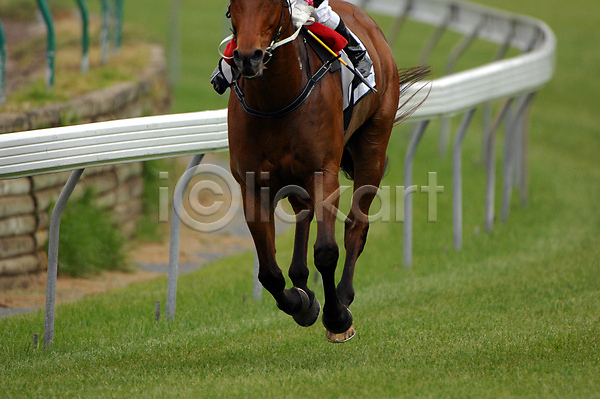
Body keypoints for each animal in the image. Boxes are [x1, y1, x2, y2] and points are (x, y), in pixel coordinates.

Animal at [227, 0, 424, 344]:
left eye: (271, 3)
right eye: (232, 4)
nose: (248, 57)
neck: (276, 100)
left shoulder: (323, 173)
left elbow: (327, 251)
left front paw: (337, 318)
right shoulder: (251, 185)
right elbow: (268, 272)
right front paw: (301, 302)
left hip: (373, 147)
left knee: (356, 226)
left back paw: (343, 295)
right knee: (303, 211)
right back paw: (301, 281)